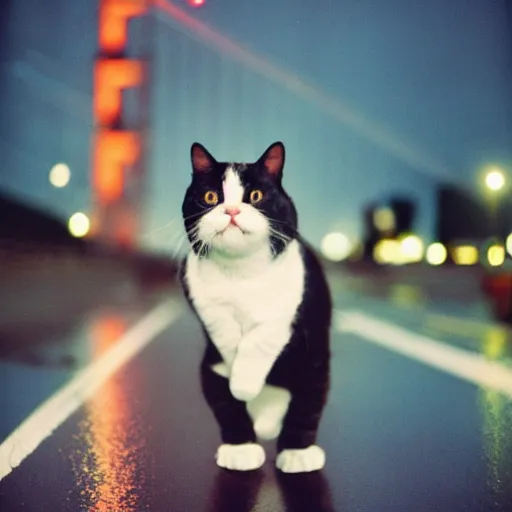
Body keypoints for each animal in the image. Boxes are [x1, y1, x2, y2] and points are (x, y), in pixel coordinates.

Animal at [180, 142, 332, 474]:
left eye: (256, 196)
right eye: (210, 197)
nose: (232, 210)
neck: (241, 273)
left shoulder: (291, 301)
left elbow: (261, 336)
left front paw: (245, 382)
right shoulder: (196, 288)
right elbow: (221, 324)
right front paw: (238, 376)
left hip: (313, 365)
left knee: (306, 407)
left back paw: (298, 453)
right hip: (211, 375)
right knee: (227, 408)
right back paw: (241, 449)